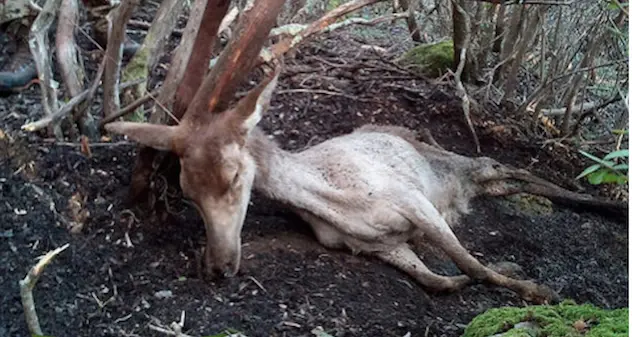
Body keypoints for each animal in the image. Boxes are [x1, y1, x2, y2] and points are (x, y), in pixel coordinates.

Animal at [106, 64, 560, 304]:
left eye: (233, 175)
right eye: (187, 191)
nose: (217, 267)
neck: (344, 203)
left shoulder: (412, 198)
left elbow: (469, 262)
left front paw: (535, 289)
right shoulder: (375, 244)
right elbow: (439, 280)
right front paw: (504, 271)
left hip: (456, 165)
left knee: (504, 167)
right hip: (464, 182)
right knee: (504, 181)